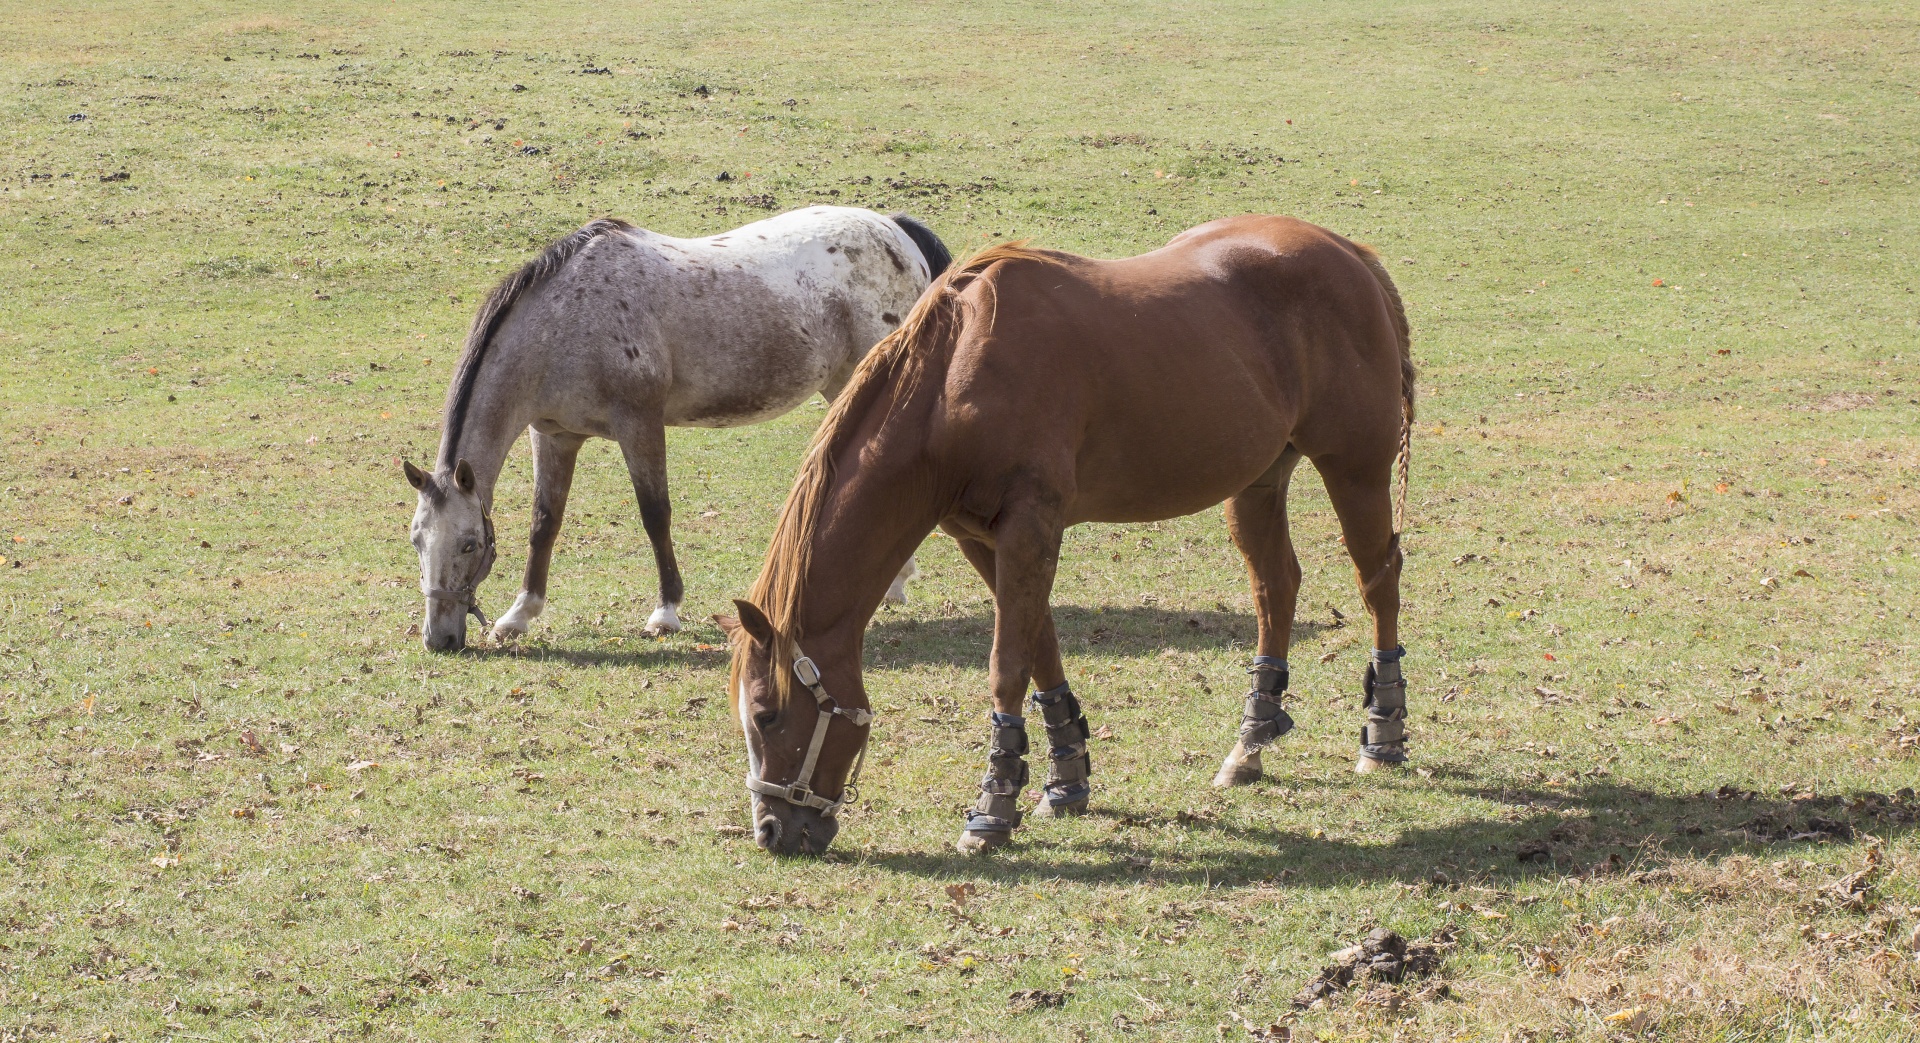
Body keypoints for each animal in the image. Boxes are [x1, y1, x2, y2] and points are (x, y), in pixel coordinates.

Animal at [405, 203, 952, 653]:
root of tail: (894, 229)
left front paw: (665, 612)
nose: (439, 639)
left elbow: (655, 515)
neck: (565, 321)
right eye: (416, 541)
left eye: (469, 544)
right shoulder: (554, 435)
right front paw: (519, 615)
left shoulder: (640, 424)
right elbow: (545, 522)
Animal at [718, 216, 1413, 860]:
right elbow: (1040, 645)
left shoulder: (1030, 527)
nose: (772, 831)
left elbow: (1007, 665)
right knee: (1277, 588)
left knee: (1378, 580)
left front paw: (992, 809)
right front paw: (1065, 779)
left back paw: (1383, 736)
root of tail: (1347, 252)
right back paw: (1250, 743)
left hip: (1356, 470)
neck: (955, 379)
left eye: (766, 713)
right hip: (1258, 482)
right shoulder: (985, 538)